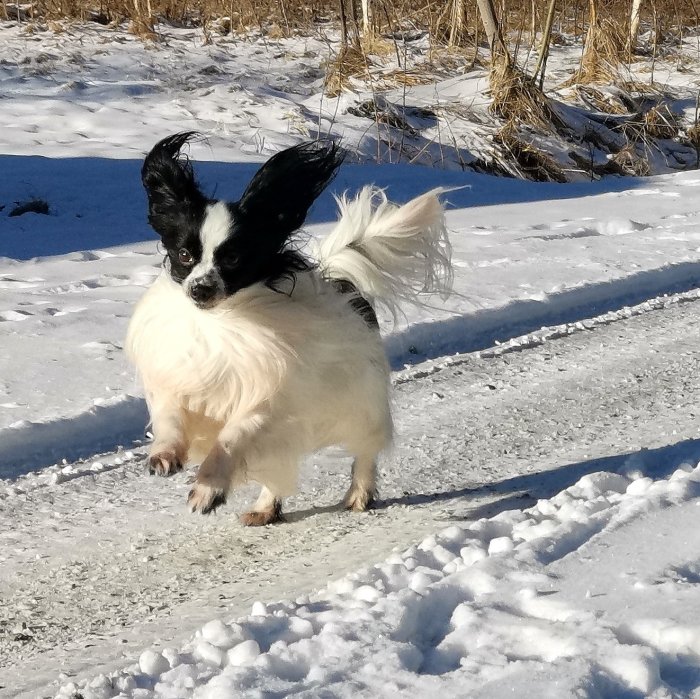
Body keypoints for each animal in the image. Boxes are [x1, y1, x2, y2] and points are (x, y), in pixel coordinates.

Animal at [126, 133, 454, 524]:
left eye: (233, 258)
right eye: (184, 255)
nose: (200, 289)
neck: (222, 319)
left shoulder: (268, 401)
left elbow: (232, 438)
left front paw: (208, 489)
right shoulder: (178, 380)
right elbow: (170, 419)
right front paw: (164, 453)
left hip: (359, 403)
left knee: (365, 448)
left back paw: (359, 493)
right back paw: (265, 508)